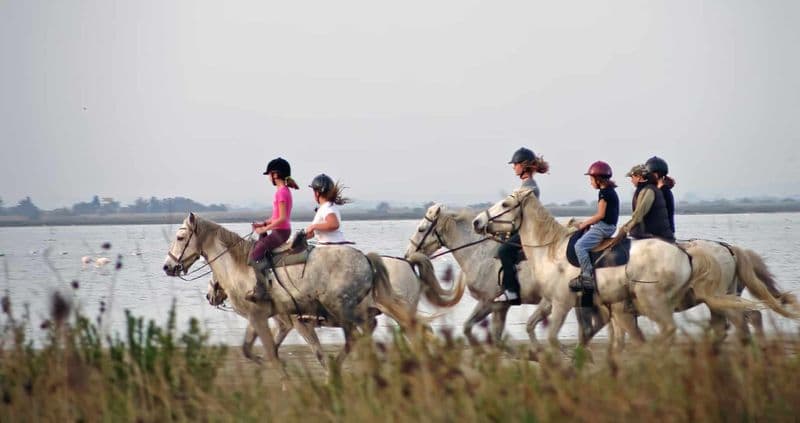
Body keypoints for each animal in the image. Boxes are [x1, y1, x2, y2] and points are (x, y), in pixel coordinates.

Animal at [163, 213, 417, 369]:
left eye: (180, 237)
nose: (167, 266)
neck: (241, 267)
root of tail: (367, 259)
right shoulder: (273, 320)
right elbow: (255, 350)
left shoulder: (290, 321)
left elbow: (310, 354)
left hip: (354, 309)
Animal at [472, 189, 722, 350]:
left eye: (505, 205)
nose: (477, 222)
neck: (551, 249)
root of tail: (685, 253)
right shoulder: (556, 302)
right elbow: (562, 332)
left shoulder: (562, 303)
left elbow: (553, 338)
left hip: (651, 300)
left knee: (666, 330)